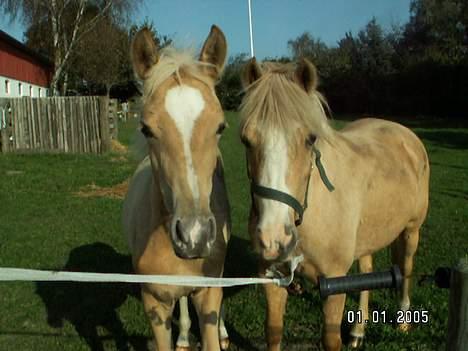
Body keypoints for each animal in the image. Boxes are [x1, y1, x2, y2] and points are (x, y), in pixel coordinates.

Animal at [239, 59, 430, 350]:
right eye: (246, 140)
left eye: (310, 139)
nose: (274, 239)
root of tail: (405, 134)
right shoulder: (272, 279)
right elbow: (273, 332)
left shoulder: (334, 283)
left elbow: (330, 340)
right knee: (366, 272)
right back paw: (358, 331)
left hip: (411, 231)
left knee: (406, 269)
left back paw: (403, 321)